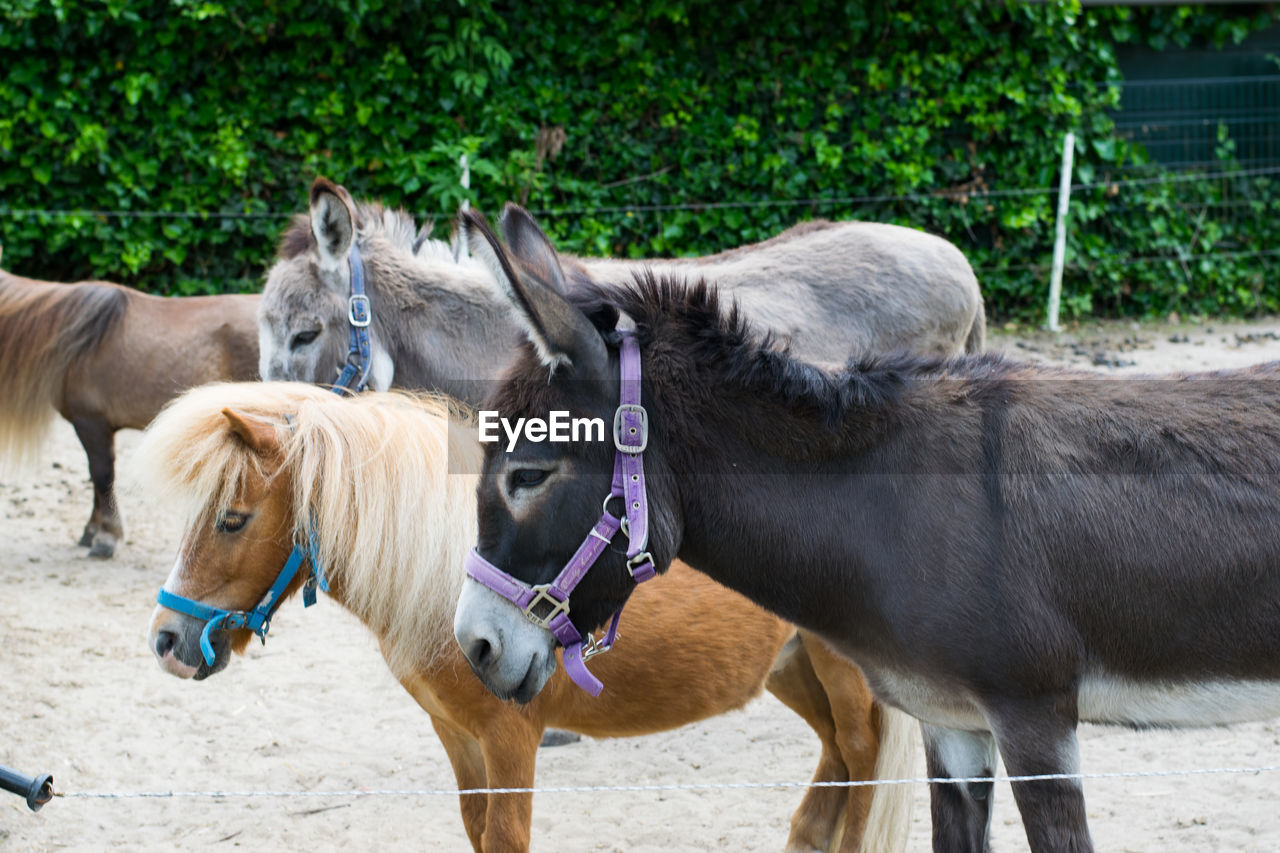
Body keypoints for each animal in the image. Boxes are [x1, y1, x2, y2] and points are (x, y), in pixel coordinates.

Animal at [137, 381, 921, 850]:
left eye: (233, 519)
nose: (168, 640)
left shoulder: (511, 740)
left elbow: (506, 837)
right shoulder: (457, 737)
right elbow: (477, 828)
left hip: (844, 675)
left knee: (861, 760)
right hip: (791, 668)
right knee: (836, 765)